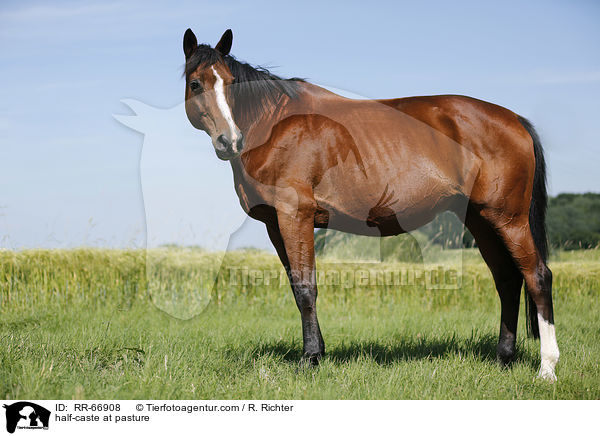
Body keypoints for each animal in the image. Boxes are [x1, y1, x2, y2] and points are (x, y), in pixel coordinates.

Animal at [180, 29, 560, 380]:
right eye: (196, 84)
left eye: (230, 84)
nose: (230, 141)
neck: (274, 127)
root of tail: (515, 120)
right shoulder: (275, 224)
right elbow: (296, 285)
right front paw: (317, 353)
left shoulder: (295, 216)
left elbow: (306, 287)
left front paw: (309, 359)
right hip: (481, 222)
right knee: (508, 280)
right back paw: (504, 359)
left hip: (508, 219)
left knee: (537, 276)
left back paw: (547, 368)